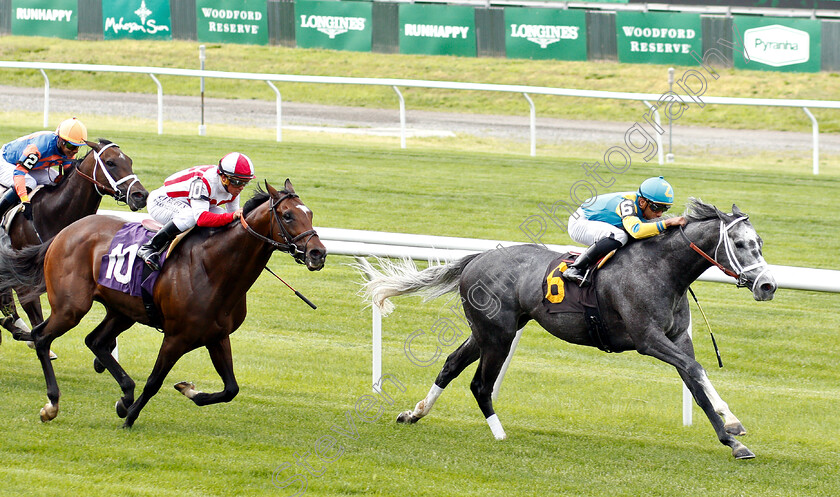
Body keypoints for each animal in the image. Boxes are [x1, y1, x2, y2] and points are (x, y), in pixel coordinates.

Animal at [0, 139, 148, 352]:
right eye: (110, 162)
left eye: (129, 161)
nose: (140, 195)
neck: (51, 214)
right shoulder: (25, 284)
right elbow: (36, 318)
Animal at [0, 178, 324, 426]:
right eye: (287, 215)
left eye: (310, 213)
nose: (318, 253)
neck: (215, 268)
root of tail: (62, 234)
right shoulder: (176, 337)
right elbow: (155, 381)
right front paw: (131, 418)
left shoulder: (217, 336)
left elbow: (231, 388)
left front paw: (186, 390)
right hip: (71, 306)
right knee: (42, 337)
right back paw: (52, 404)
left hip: (122, 310)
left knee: (95, 341)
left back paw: (125, 394)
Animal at [358, 198, 776, 458]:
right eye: (740, 244)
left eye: (759, 242)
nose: (768, 285)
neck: (661, 269)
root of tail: (479, 257)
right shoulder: (648, 339)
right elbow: (696, 370)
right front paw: (734, 427)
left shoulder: (676, 339)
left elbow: (697, 385)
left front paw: (732, 438)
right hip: (498, 335)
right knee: (479, 384)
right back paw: (499, 433)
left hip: (486, 331)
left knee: (450, 364)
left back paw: (414, 413)